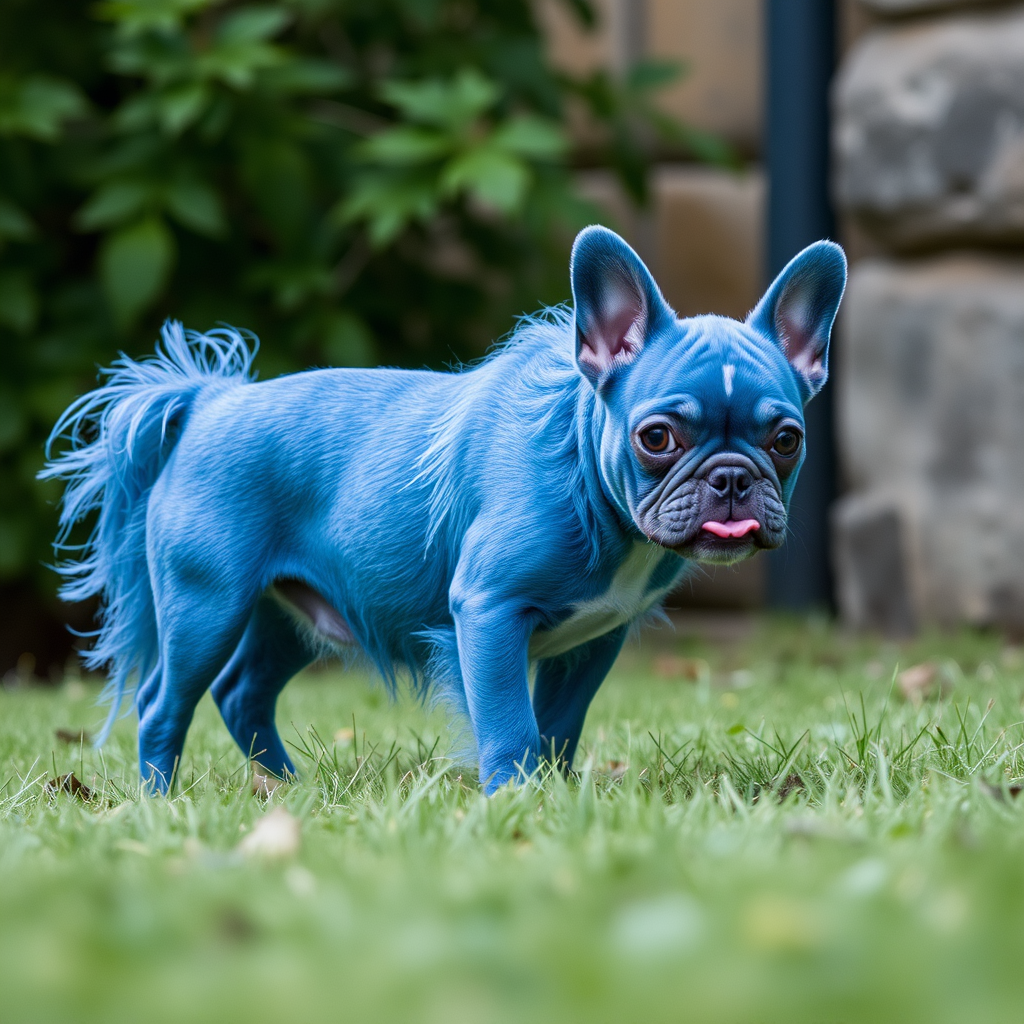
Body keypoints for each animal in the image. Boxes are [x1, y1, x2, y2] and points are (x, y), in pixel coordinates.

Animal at [44, 226, 843, 790]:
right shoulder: (489, 611)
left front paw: (557, 798)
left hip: (293, 616)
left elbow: (558, 725)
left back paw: (290, 791)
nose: (732, 478)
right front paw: (517, 803)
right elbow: (511, 725)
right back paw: (161, 802)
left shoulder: (595, 640)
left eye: (787, 440)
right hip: (205, 604)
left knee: (244, 695)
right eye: (657, 437)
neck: (586, 477)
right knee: (164, 704)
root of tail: (209, 400)